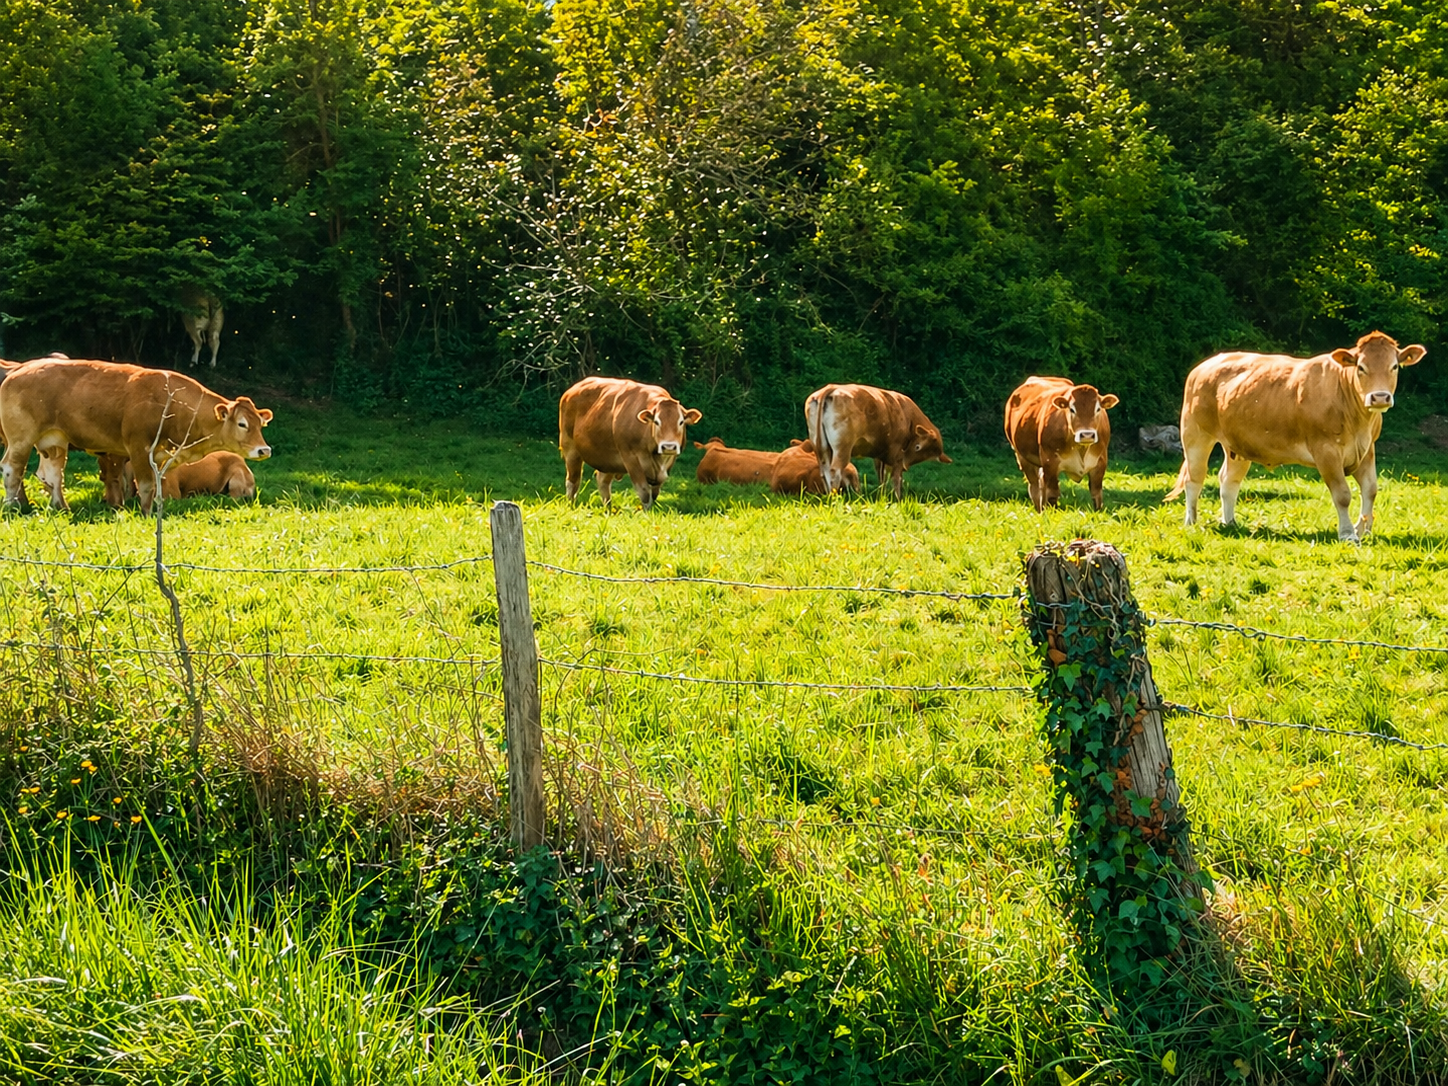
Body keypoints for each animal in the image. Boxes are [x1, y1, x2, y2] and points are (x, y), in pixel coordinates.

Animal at [0, 358, 273, 513]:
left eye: (260, 424)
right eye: (242, 424)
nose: (264, 450)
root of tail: (17, 371)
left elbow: (157, 486)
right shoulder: (139, 447)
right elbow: (146, 485)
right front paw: (146, 513)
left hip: (54, 441)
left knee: (53, 475)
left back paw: (61, 507)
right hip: (21, 439)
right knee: (12, 469)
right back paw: (13, 506)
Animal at [559, 376, 701, 510]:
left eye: (681, 422)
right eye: (656, 422)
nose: (669, 446)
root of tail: (572, 390)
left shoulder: (668, 463)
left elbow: (655, 493)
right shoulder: (630, 458)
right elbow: (644, 493)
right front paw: (646, 514)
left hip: (608, 459)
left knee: (603, 482)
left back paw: (608, 509)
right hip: (570, 448)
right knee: (573, 481)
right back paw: (571, 505)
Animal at [804, 384, 951, 498]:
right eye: (918, 447)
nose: (906, 465)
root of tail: (831, 388)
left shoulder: (879, 455)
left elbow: (881, 476)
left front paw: (882, 496)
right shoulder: (898, 454)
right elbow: (896, 479)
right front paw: (898, 499)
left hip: (821, 448)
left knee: (824, 472)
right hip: (842, 448)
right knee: (835, 471)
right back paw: (835, 498)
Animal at [1004, 377, 1118, 511]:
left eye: (1098, 409)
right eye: (1072, 409)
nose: (1087, 435)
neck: (1081, 448)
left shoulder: (1100, 462)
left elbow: (1097, 496)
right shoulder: (1050, 461)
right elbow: (1052, 495)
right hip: (1022, 457)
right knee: (1034, 487)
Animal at [1164, 331, 1426, 541]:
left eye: (1394, 366)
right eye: (1360, 367)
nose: (1380, 397)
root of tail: (1206, 364)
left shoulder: (1367, 449)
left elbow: (1371, 490)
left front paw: (1365, 531)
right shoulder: (1326, 450)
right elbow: (1342, 494)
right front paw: (1348, 534)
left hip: (1237, 444)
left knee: (1228, 481)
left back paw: (1230, 522)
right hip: (1195, 434)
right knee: (1194, 479)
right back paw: (1191, 522)